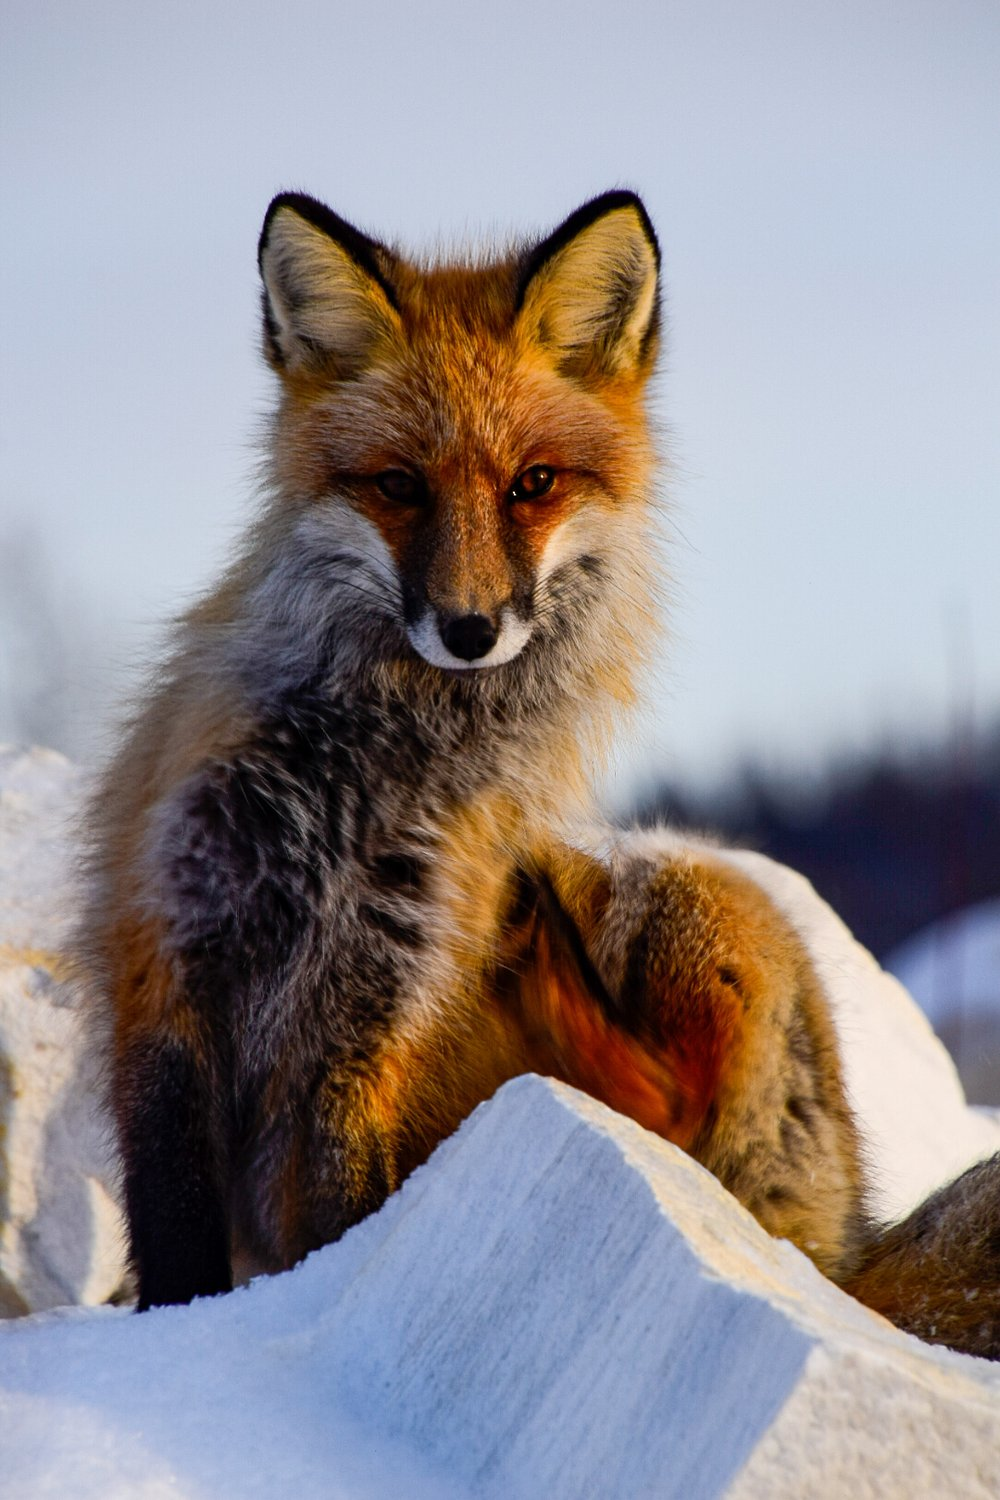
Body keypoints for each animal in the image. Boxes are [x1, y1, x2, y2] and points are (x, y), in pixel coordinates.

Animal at [80, 190, 1000, 1362]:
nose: (470, 630)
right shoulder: (165, 959)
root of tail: (847, 1248)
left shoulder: (374, 1014)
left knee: (661, 1102)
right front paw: (178, 1333)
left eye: (533, 486)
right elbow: (174, 1215)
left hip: (683, 882)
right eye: (397, 486)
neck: (356, 789)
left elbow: (339, 1211)